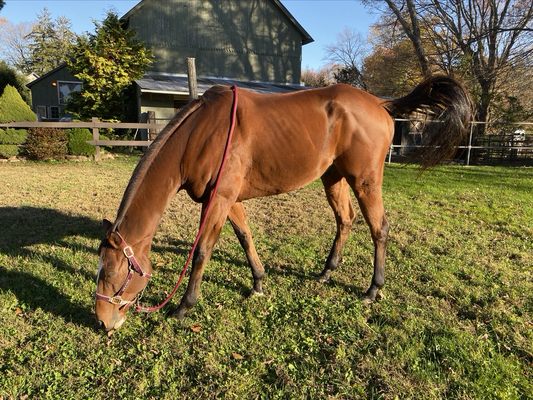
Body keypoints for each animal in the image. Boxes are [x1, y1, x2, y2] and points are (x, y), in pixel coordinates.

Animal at [95, 76, 470, 332]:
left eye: (112, 273)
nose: (102, 322)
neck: (201, 134)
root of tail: (380, 103)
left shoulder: (218, 200)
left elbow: (202, 250)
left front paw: (184, 306)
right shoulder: (229, 200)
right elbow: (246, 238)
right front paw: (259, 283)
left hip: (364, 181)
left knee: (379, 228)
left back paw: (372, 289)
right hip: (333, 177)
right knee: (345, 220)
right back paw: (326, 273)